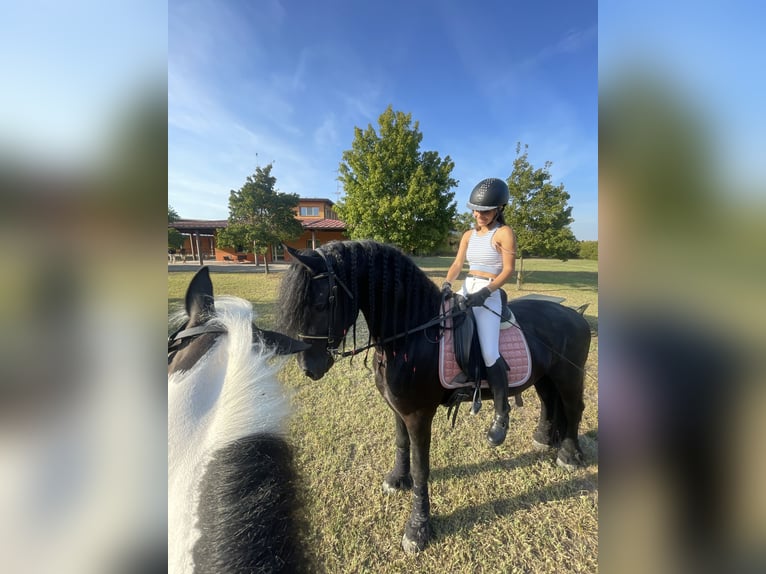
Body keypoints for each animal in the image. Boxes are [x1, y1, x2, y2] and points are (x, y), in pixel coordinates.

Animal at [277, 240, 592, 553]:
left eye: (321, 303)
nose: (308, 368)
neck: (412, 336)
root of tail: (576, 314)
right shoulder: (397, 409)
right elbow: (401, 444)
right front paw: (397, 480)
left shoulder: (418, 415)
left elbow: (421, 468)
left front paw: (418, 528)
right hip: (545, 377)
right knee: (549, 403)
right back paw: (543, 438)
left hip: (569, 376)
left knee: (574, 408)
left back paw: (569, 454)